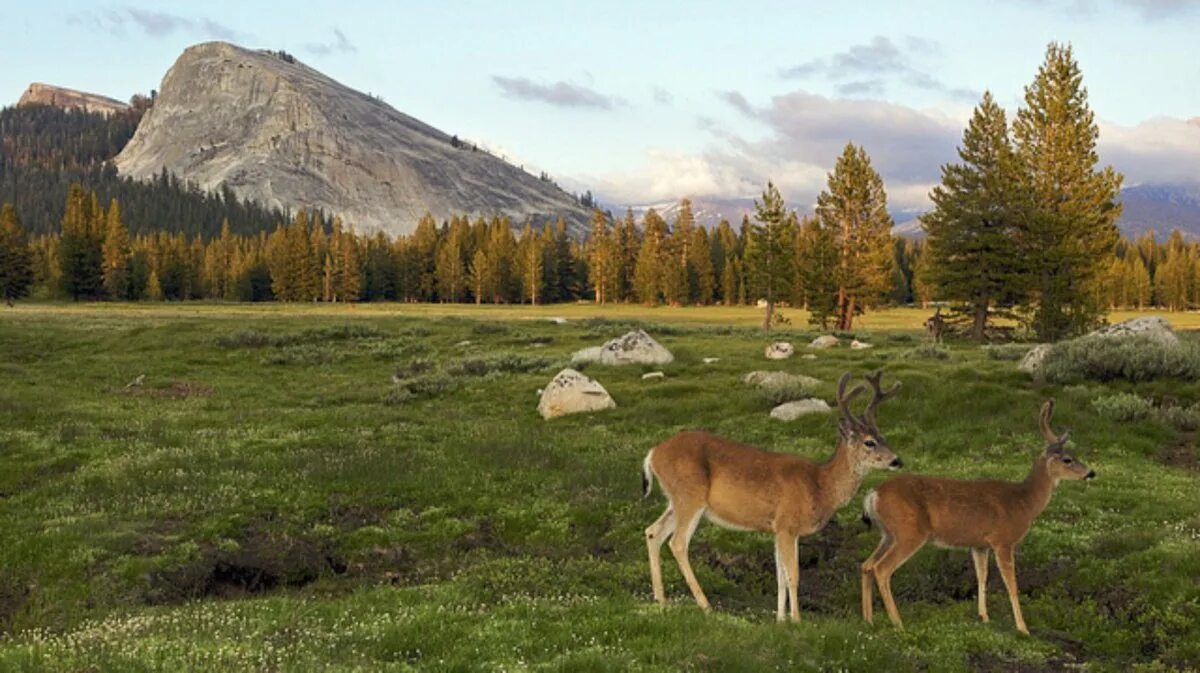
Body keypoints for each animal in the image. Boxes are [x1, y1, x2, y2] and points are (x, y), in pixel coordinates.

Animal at [643, 369, 902, 623]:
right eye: (869, 442)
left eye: (884, 437)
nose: (896, 460)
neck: (820, 486)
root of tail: (653, 453)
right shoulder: (788, 524)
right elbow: (793, 575)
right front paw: (797, 620)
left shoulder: (778, 529)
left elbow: (780, 577)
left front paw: (780, 619)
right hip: (690, 496)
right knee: (677, 543)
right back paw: (705, 606)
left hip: (675, 500)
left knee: (653, 532)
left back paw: (661, 599)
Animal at [864, 395, 1099, 633]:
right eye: (1068, 459)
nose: (1091, 473)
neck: (1024, 502)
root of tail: (874, 494)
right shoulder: (1003, 541)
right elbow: (1011, 584)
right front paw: (1023, 627)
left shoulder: (980, 544)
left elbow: (982, 577)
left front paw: (984, 616)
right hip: (909, 532)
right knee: (881, 568)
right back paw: (897, 622)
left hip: (888, 533)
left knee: (866, 565)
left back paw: (868, 619)